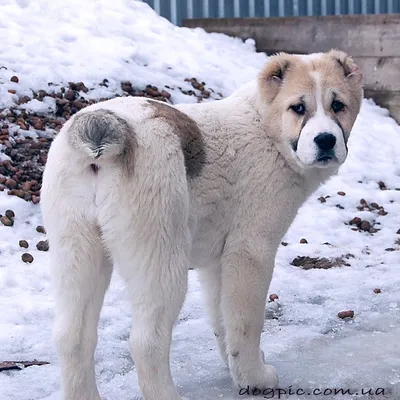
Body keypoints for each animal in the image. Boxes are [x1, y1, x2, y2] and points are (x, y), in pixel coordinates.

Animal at [40, 50, 362, 400]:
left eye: (338, 105)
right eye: (298, 108)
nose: (326, 140)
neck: (264, 127)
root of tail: (107, 128)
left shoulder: (216, 262)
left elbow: (222, 319)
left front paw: (236, 368)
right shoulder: (250, 251)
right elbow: (246, 321)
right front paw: (255, 377)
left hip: (77, 250)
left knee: (71, 337)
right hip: (160, 257)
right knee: (146, 342)